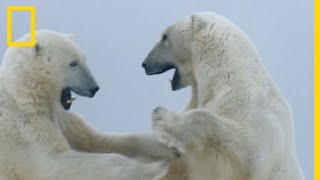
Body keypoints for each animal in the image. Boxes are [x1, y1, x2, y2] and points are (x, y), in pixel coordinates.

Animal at [0, 29, 178, 180]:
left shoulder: (63, 117)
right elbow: (55, 161)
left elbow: (94, 139)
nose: (94, 88)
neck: (23, 92)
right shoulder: (25, 129)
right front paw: (155, 168)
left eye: (84, 59)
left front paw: (169, 147)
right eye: (73, 63)